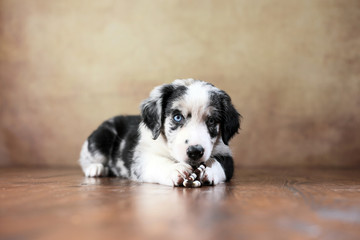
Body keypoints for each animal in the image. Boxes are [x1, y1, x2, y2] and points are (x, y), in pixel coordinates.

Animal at [79, 78, 242, 187]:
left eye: (212, 121)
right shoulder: (141, 158)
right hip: (102, 137)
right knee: (86, 158)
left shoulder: (225, 153)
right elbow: (157, 162)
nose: (195, 151)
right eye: (177, 117)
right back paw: (95, 168)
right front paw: (175, 170)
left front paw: (210, 170)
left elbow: (221, 165)